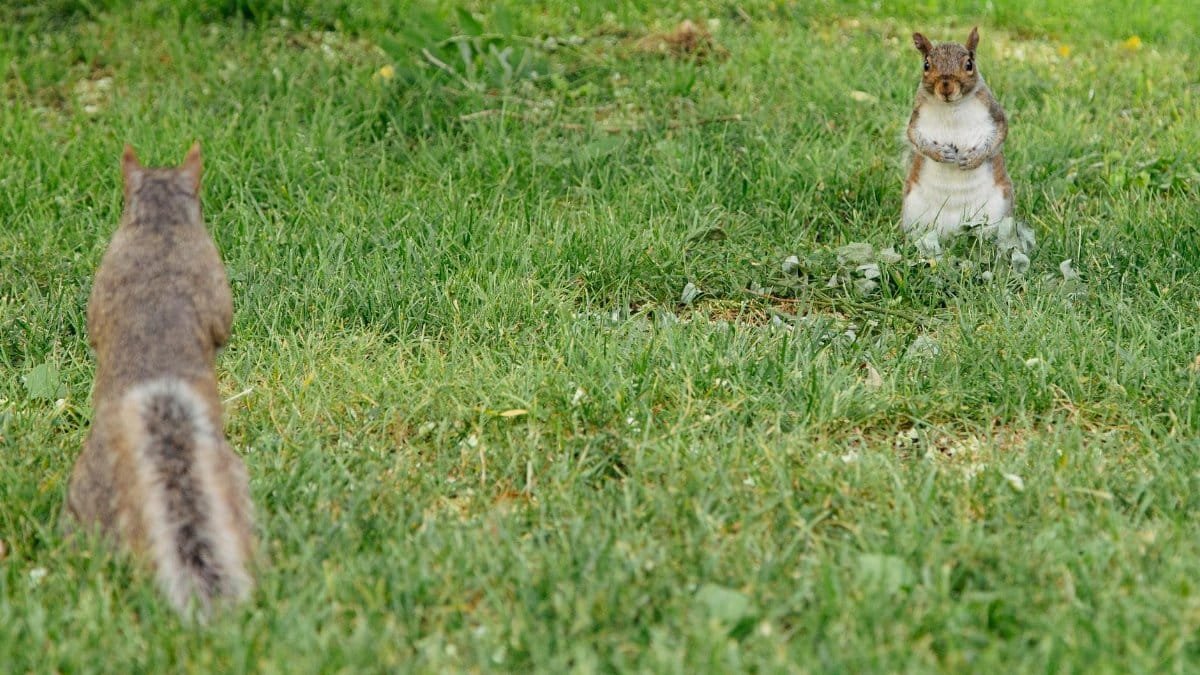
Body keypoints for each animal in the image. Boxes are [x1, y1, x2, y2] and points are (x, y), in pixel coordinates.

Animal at [901, 27, 1033, 266]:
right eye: (926, 65)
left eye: (969, 64)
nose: (946, 87)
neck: (951, 107)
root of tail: (953, 233)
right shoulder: (916, 116)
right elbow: (914, 136)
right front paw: (940, 153)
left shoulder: (994, 112)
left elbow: (1001, 133)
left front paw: (973, 159)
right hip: (913, 212)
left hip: (997, 213)